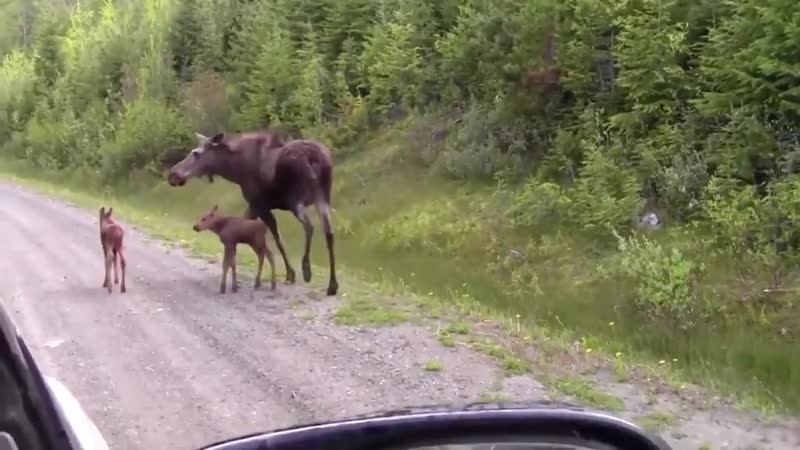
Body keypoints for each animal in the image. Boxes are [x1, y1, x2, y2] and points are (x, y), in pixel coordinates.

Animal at [166, 129, 339, 296]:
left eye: (196, 153)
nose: (173, 174)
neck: (235, 171)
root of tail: (315, 158)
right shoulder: (254, 206)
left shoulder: (260, 205)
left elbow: (278, 239)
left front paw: (290, 273)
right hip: (323, 197)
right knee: (329, 233)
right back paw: (332, 285)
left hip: (295, 199)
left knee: (309, 226)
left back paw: (306, 269)